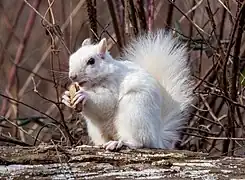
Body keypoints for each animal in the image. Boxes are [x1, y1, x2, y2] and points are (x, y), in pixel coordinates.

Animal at [62, 29, 194, 150]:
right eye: (71, 58)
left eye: (91, 61)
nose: (72, 76)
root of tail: (157, 138)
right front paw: (66, 97)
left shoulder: (113, 86)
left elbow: (106, 102)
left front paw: (84, 95)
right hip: (96, 130)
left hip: (134, 112)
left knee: (141, 142)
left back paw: (121, 143)